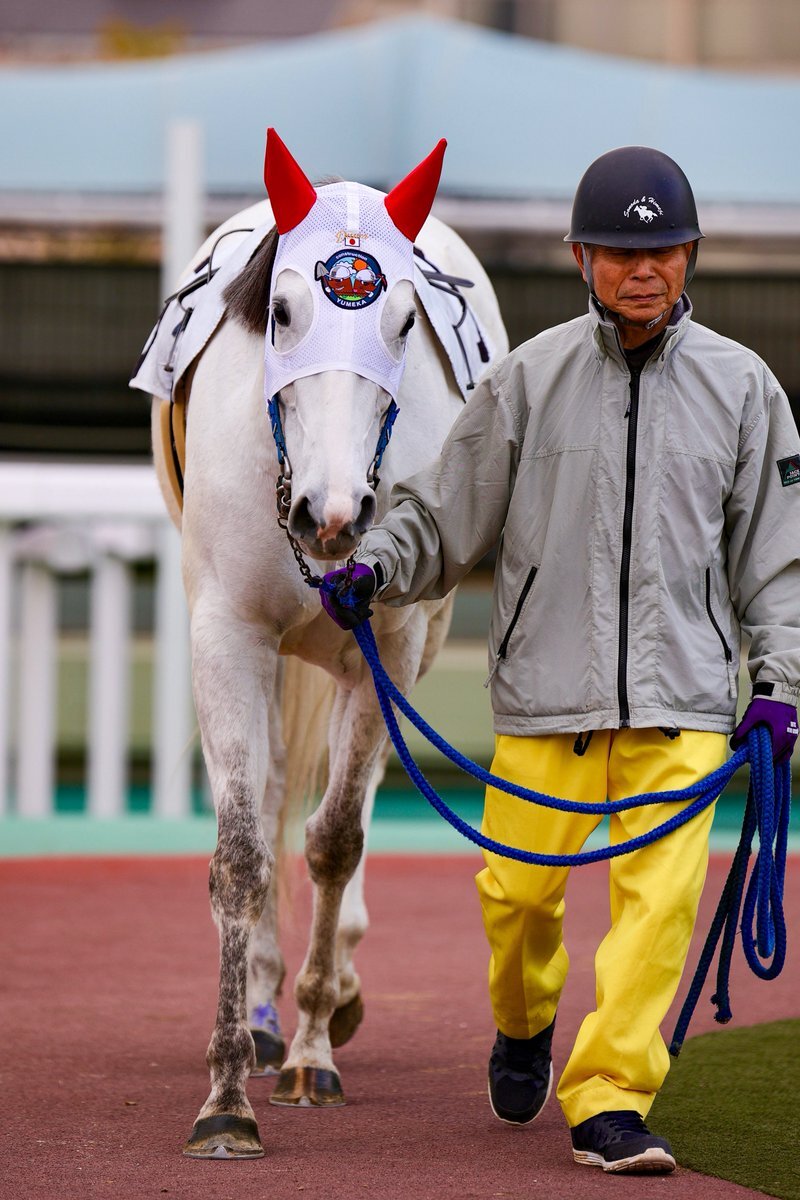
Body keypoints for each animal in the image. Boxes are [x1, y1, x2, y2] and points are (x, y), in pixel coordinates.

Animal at [144, 129, 508, 1159]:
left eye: (402, 324)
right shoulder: (226, 632)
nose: (334, 515)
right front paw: (228, 1094)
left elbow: (338, 838)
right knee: (270, 792)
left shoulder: (388, 637)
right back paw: (267, 1010)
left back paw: (328, 992)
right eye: (281, 311)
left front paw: (313, 1047)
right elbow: (241, 850)